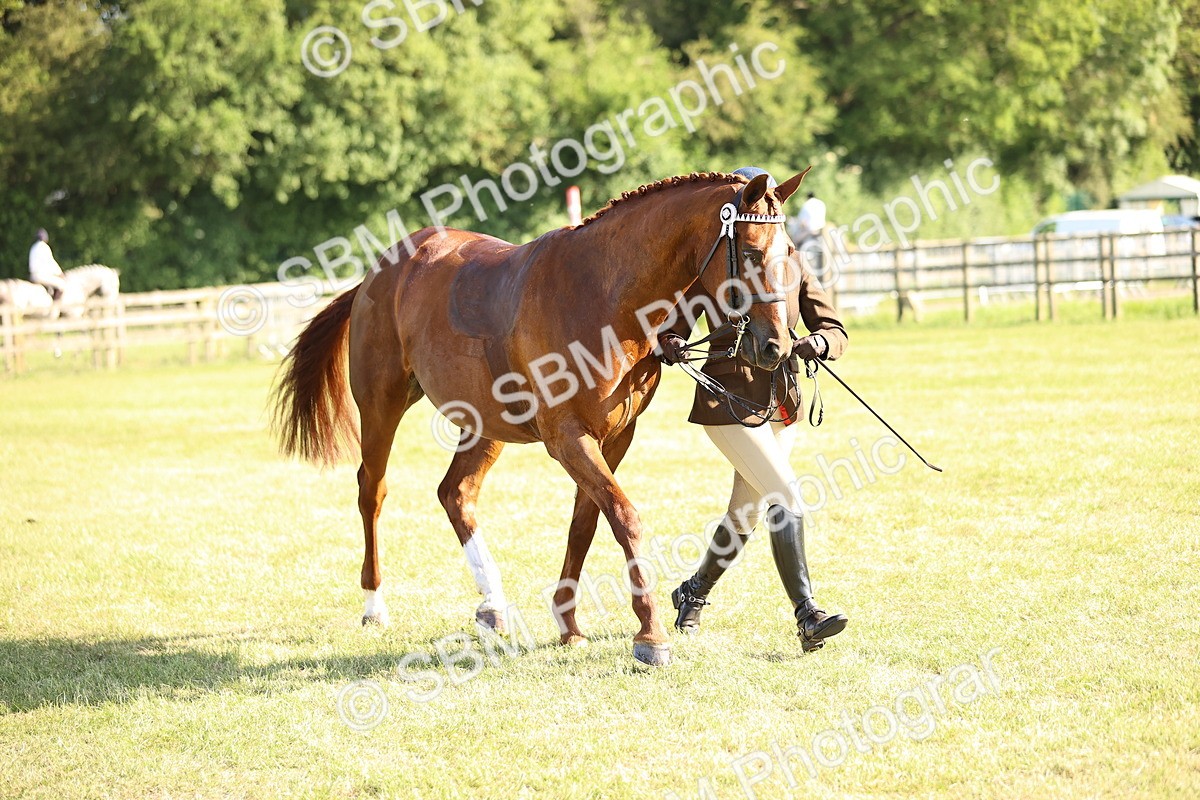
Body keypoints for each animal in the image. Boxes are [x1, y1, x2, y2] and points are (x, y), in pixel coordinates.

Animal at [271, 170, 810, 666]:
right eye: (754, 253)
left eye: (790, 253)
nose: (776, 347)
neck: (607, 297)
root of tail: (380, 269)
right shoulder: (568, 437)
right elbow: (625, 517)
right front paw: (650, 635)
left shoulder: (615, 437)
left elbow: (586, 522)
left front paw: (568, 623)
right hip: (382, 405)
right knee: (373, 490)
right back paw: (374, 605)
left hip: (485, 424)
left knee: (456, 493)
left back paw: (492, 606)